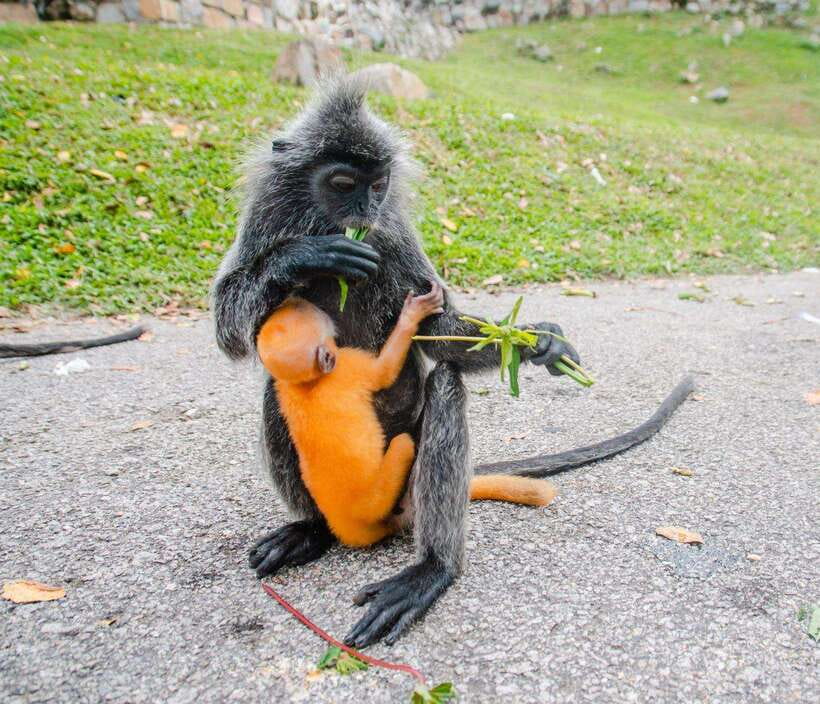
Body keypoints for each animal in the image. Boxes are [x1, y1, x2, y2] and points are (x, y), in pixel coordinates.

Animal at [256, 283, 556, 548]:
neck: (306, 384)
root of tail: (349, 527)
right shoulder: (350, 365)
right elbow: (385, 371)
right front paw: (413, 314)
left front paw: (541, 341)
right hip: (384, 492)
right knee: (417, 422)